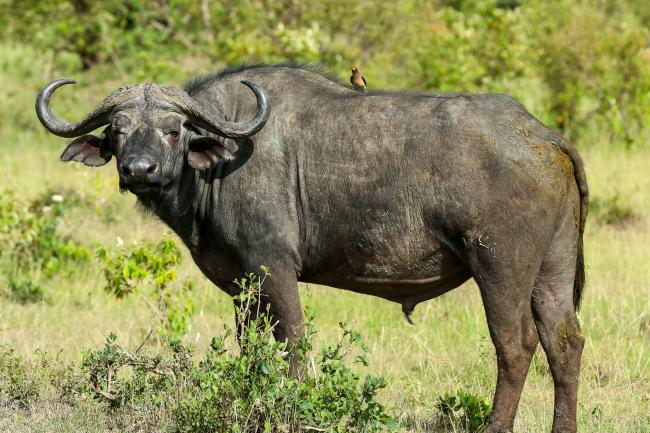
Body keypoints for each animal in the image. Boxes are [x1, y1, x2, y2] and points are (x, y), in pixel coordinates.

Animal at [35, 64, 584, 432]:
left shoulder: (274, 268)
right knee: (564, 342)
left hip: (500, 268)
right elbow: (252, 350)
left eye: (173, 130)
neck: (220, 163)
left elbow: (294, 343)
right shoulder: (243, 286)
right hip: (551, 274)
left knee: (515, 345)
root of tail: (543, 136)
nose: (139, 170)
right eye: (118, 131)